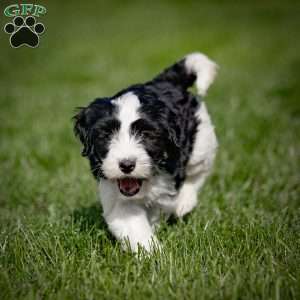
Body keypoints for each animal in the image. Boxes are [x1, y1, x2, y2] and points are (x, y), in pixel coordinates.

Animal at [72, 52, 218, 252]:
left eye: (146, 134)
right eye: (106, 134)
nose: (127, 165)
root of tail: (165, 81)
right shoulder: (117, 196)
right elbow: (133, 225)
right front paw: (151, 253)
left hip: (201, 139)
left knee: (198, 171)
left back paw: (184, 202)